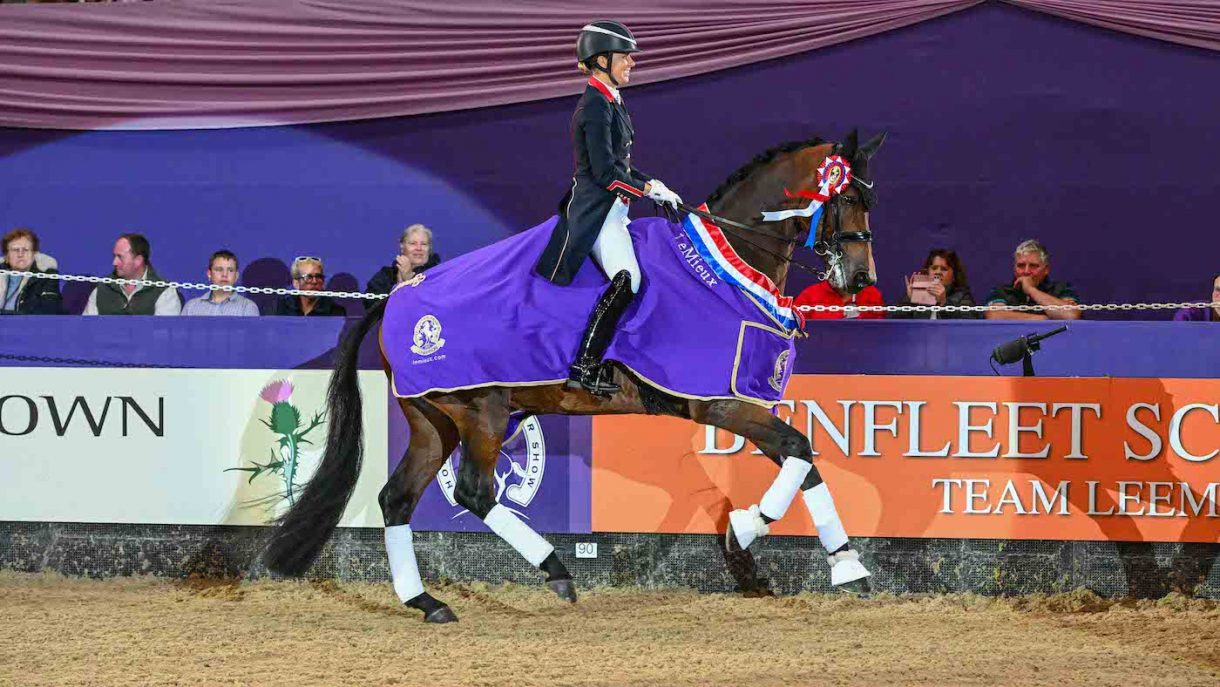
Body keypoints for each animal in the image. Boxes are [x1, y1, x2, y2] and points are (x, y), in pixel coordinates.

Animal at [264, 130, 888, 623]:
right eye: (848, 197)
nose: (860, 280)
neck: (725, 265)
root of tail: (399, 295)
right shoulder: (718, 403)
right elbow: (800, 449)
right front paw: (744, 532)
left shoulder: (741, 401)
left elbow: (802, 459)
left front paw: (843, 566)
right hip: (483, 412)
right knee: (473, 492)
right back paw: (556, 570)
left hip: (433, 420)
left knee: (397, 498)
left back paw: (427, 603)